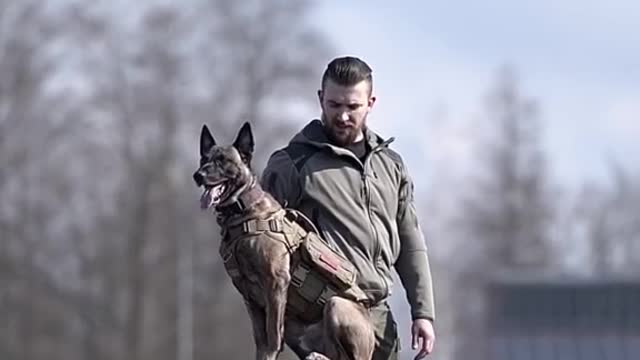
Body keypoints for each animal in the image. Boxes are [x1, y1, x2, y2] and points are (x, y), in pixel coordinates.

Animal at [192, 122, 378, 358]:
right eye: (203, 159)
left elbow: (272, 335)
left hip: (336, 304)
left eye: (223, 161)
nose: (198, 175)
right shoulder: (248, 296)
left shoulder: (276, 282)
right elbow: (260, 338)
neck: (242, 212)